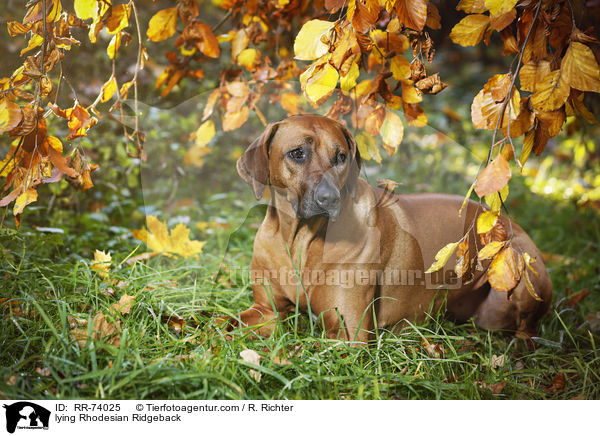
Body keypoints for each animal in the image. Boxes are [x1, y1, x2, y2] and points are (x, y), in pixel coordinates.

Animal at [226, 115, 552, 340]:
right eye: (297, 153)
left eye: (340, 157)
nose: (329, 198)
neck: (300, 240)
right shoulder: (266, 310)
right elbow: (223, 322)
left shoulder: (349, 334)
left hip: (520, 274)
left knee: (527, 330)